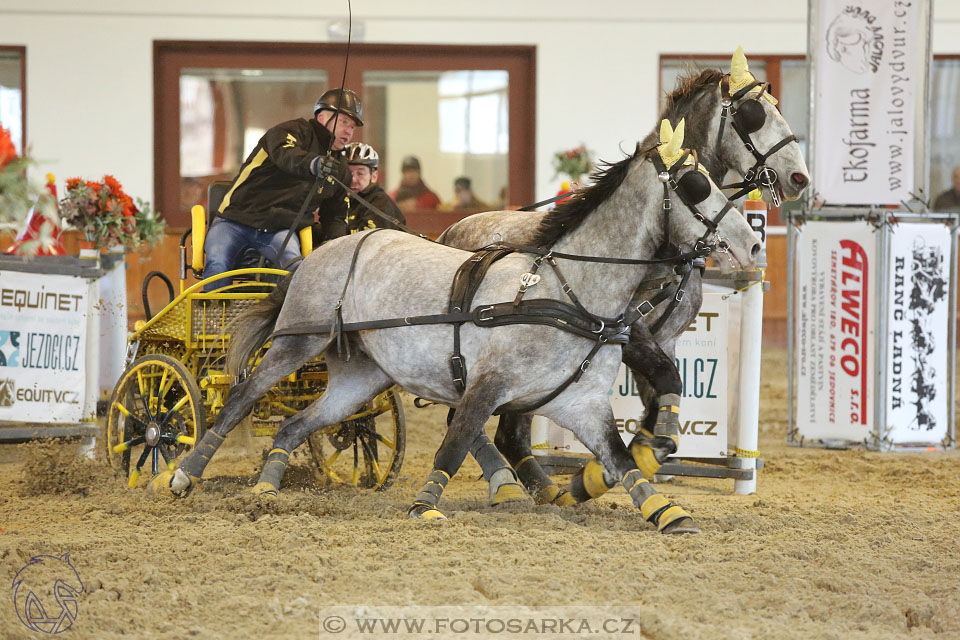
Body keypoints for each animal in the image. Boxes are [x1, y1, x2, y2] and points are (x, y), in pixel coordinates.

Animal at [152, 122, 764, 532]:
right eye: (694, 185)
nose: (755, 243)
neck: (566, 291)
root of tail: (323, 251)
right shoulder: (487, 385)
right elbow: (456, 441)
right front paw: (426, 504)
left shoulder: (583, 403)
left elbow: (620, 461)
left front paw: (667, 510)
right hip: (296, 341)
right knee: (240, 400)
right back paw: (180, 475)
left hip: (361, 377)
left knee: (294, 426)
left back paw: (265, 490)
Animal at [442, 51, 808, 504]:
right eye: (754, 114)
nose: (799, 178)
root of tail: (453, 229)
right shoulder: (631, 332)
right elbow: (664, 386)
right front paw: (609, 470)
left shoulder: (665, 338)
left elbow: (664, 400)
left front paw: (634, 462)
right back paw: (512, 483)